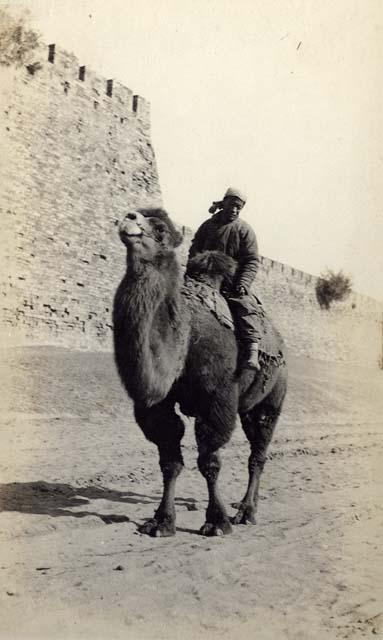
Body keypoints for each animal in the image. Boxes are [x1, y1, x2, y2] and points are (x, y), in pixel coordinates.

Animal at [113, 209, 288, 536]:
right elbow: (169, 460)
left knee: (257, 453)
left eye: (160, 229)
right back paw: (245, 506)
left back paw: (246, 512)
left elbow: (209, 461)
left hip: (271, 399)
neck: (185, 335)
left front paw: (217, 522)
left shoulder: (217, 398)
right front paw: (161, 522)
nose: (129, 217)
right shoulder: (157, 406)